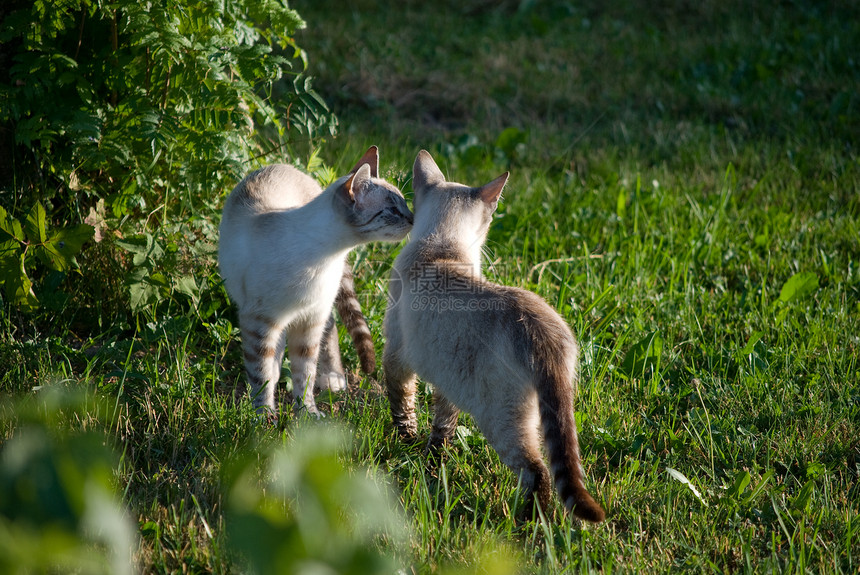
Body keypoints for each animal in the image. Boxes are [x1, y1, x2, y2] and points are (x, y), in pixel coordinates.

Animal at [218, 147, 414, 418]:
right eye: (393, 210)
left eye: (404, 203)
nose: (414, 218)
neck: (328, 257)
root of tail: (289, 167)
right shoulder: (261, 321)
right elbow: (261, 374)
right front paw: (264, 416)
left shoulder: (310, 321)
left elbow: (305, 374)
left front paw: (307, 413)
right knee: (275, 356)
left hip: (321, 310)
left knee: (330, 329)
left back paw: (333, 378)